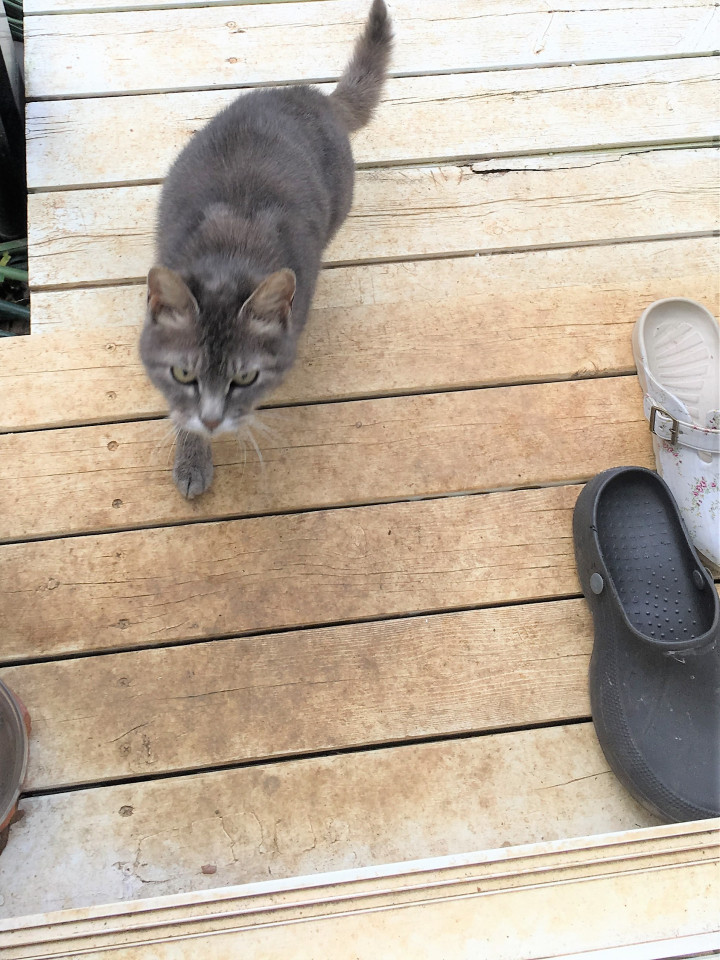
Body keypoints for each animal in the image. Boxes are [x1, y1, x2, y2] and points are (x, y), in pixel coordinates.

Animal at [140, 0, 392, 498]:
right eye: (184, 374)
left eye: (245, 378)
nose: (213, 421)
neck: (227, 256)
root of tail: (314, 97)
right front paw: (192, 454)